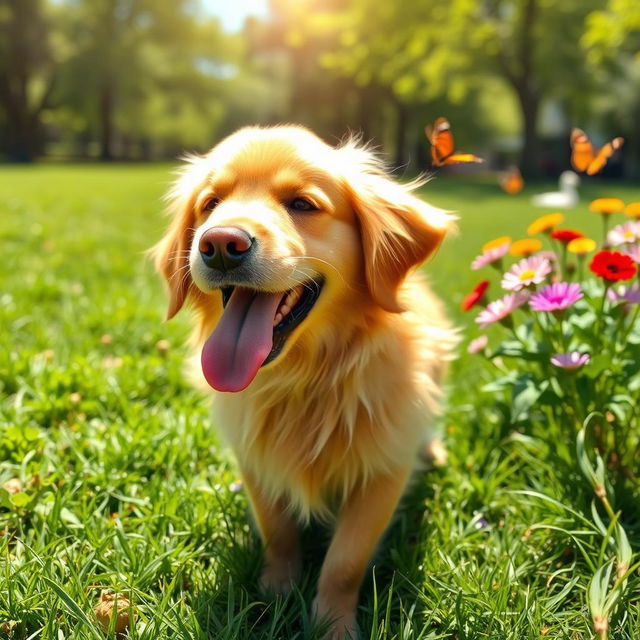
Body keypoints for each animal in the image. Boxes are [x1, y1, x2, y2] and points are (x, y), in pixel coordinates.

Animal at [154, 126, 456, 640]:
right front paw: (275, 590)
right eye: (211, 204)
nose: (220, 244)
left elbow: (345, 562)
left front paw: (333, 623)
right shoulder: (255, 459)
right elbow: (277, 530)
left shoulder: (383, 471)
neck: (306, 378)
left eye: (302, 204)